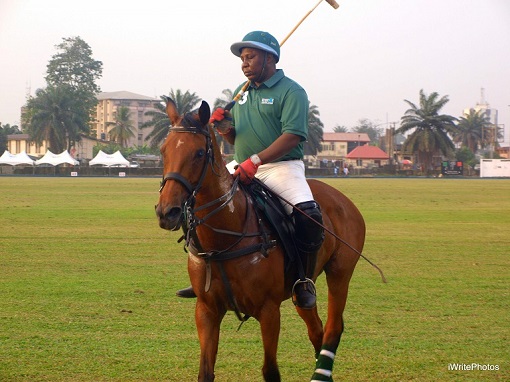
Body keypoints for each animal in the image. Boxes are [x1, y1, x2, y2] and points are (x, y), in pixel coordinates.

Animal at [157, 97, 364, 380]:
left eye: (199, 153)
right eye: (163, 150)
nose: (167, 212)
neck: (223, 241)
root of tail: (343, 199)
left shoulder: (269, 311)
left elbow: (270, 371)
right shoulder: (206, 310)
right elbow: (205, 372)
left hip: (340, 272)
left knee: (333, 327)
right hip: (304, 289)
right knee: (316, 328)